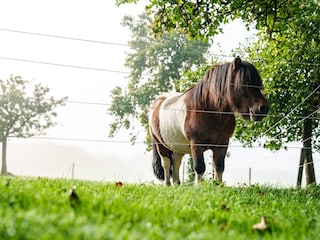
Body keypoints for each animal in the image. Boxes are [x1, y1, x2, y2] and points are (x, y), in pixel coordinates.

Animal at [149, 56, 268, 186]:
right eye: (244, 83)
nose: (263, 108)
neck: (210, 110)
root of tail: (158, 101)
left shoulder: (222, 144)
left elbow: (219, 167)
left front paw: (219, 186)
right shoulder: (196, 145)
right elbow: (199, 167)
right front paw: (198, 186)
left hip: (178, 145)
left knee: (176, 161)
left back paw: (177, 184)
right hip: (160, 143)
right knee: (166, 163)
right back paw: (168, 184)